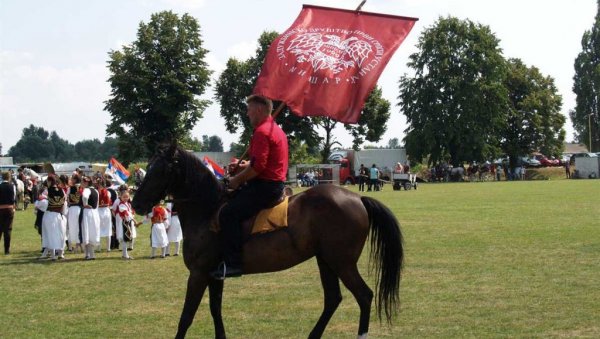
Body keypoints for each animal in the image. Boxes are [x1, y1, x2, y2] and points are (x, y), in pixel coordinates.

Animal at [131, 145, 404, 338]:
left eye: (161, 170)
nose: (136, 204)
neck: (207, 210)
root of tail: (358, 198)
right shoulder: (213, 275)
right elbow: (215, 311)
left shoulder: (198, 274)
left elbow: (186, 317)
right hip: (326, 261)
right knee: (333, 299)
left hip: (342, 263)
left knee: (364, 296)